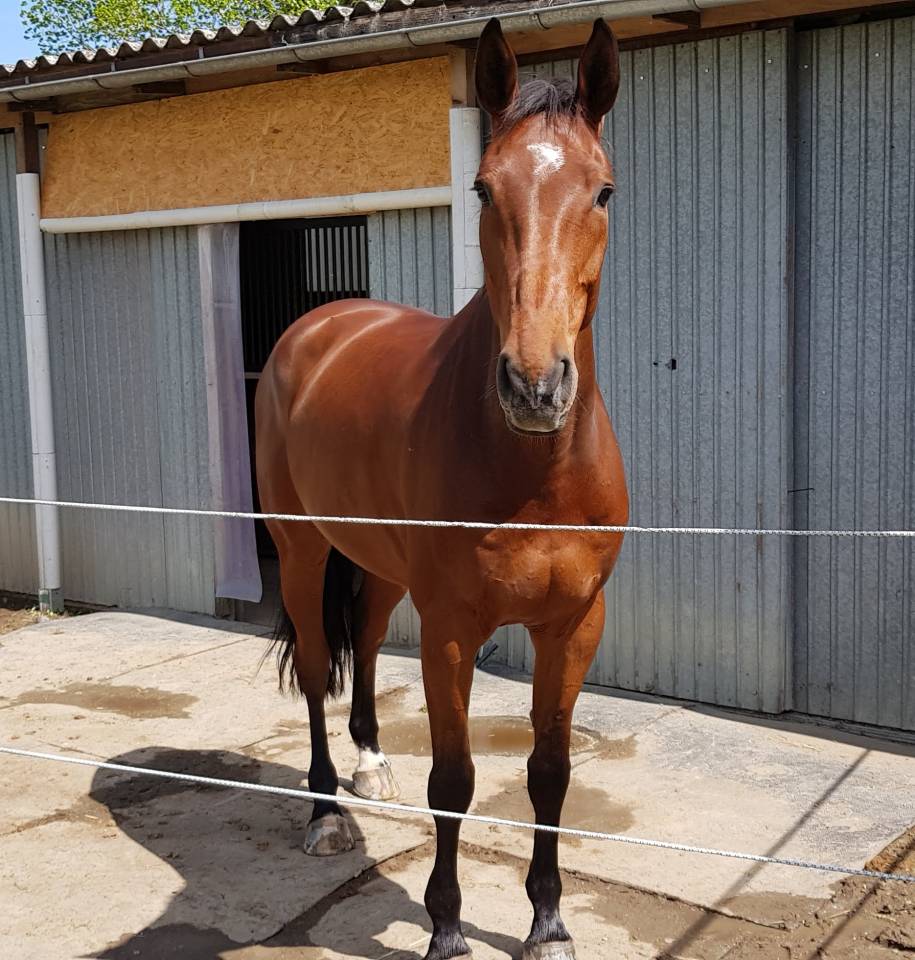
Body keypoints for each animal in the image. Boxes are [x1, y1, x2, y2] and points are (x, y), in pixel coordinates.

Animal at [255, 18, 628, 960]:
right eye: (484, 187)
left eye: (602, 192)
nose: (534, 386)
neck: (533, 474)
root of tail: (317, 326)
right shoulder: (452, 629)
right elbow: (454, 781)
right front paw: (448, 928)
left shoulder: (573, 623)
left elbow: (548, 772)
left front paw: (547, 922)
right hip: (301, 551)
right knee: (313, 666)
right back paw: (325, 812)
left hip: (381, 571)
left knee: (358, 645)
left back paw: (369, 767)